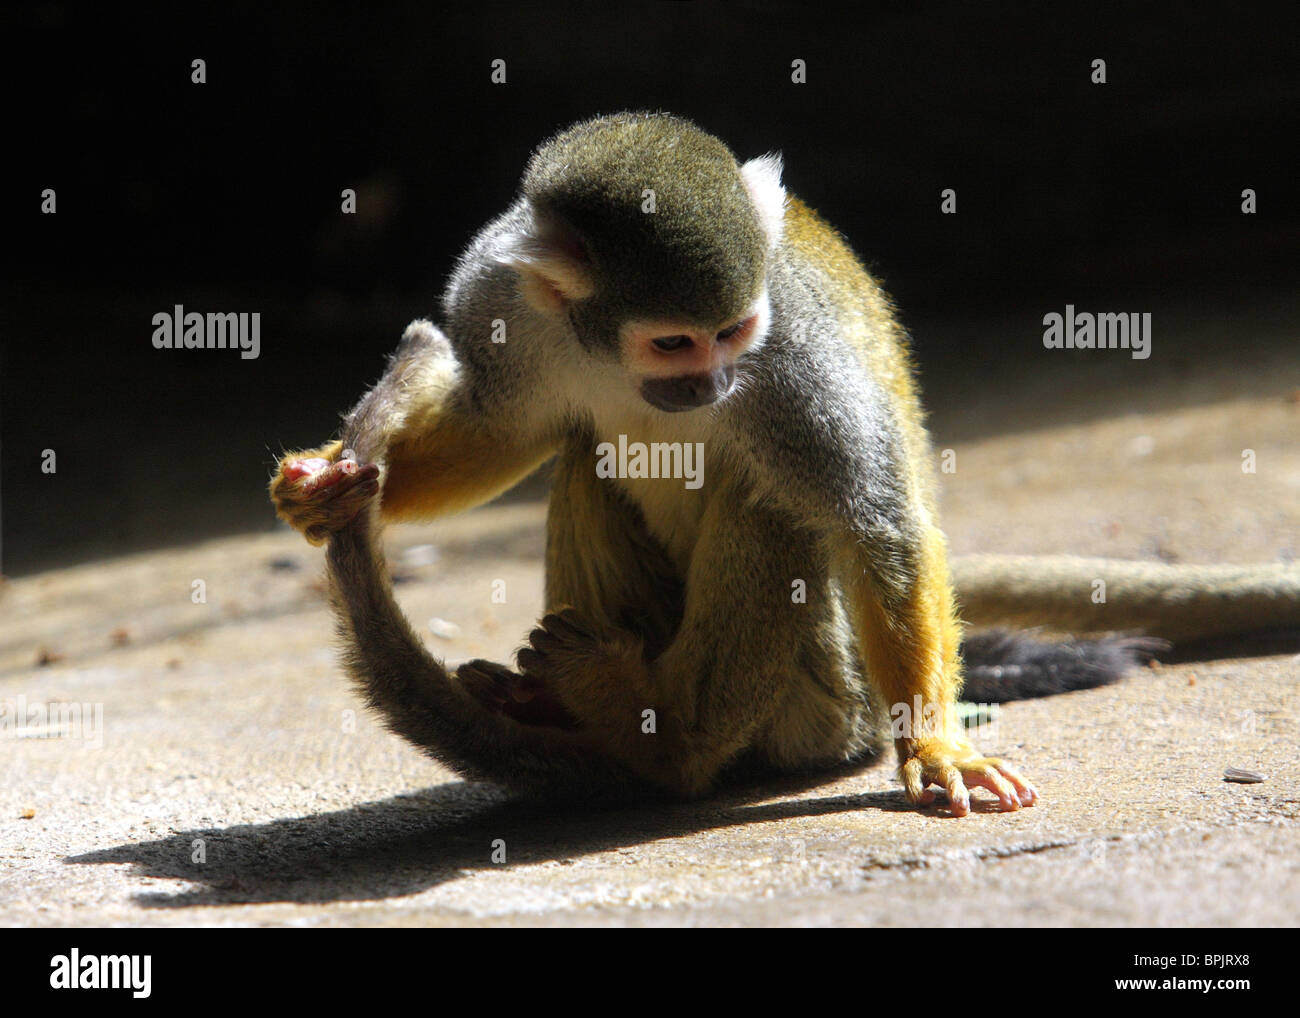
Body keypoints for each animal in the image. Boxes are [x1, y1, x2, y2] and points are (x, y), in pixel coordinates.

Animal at [266, 111, 1300, 811]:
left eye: (734, 332)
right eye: (674, 343)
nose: (714, 383)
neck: (608, 354)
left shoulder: (789, 349)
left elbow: (872, 522)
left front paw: (937, 750)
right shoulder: (499, 291)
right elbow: (499, 427)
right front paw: (328, 484)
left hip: (825, 701)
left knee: (774, 500)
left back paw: (662, 740)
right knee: (585, 453)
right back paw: (582, 716)